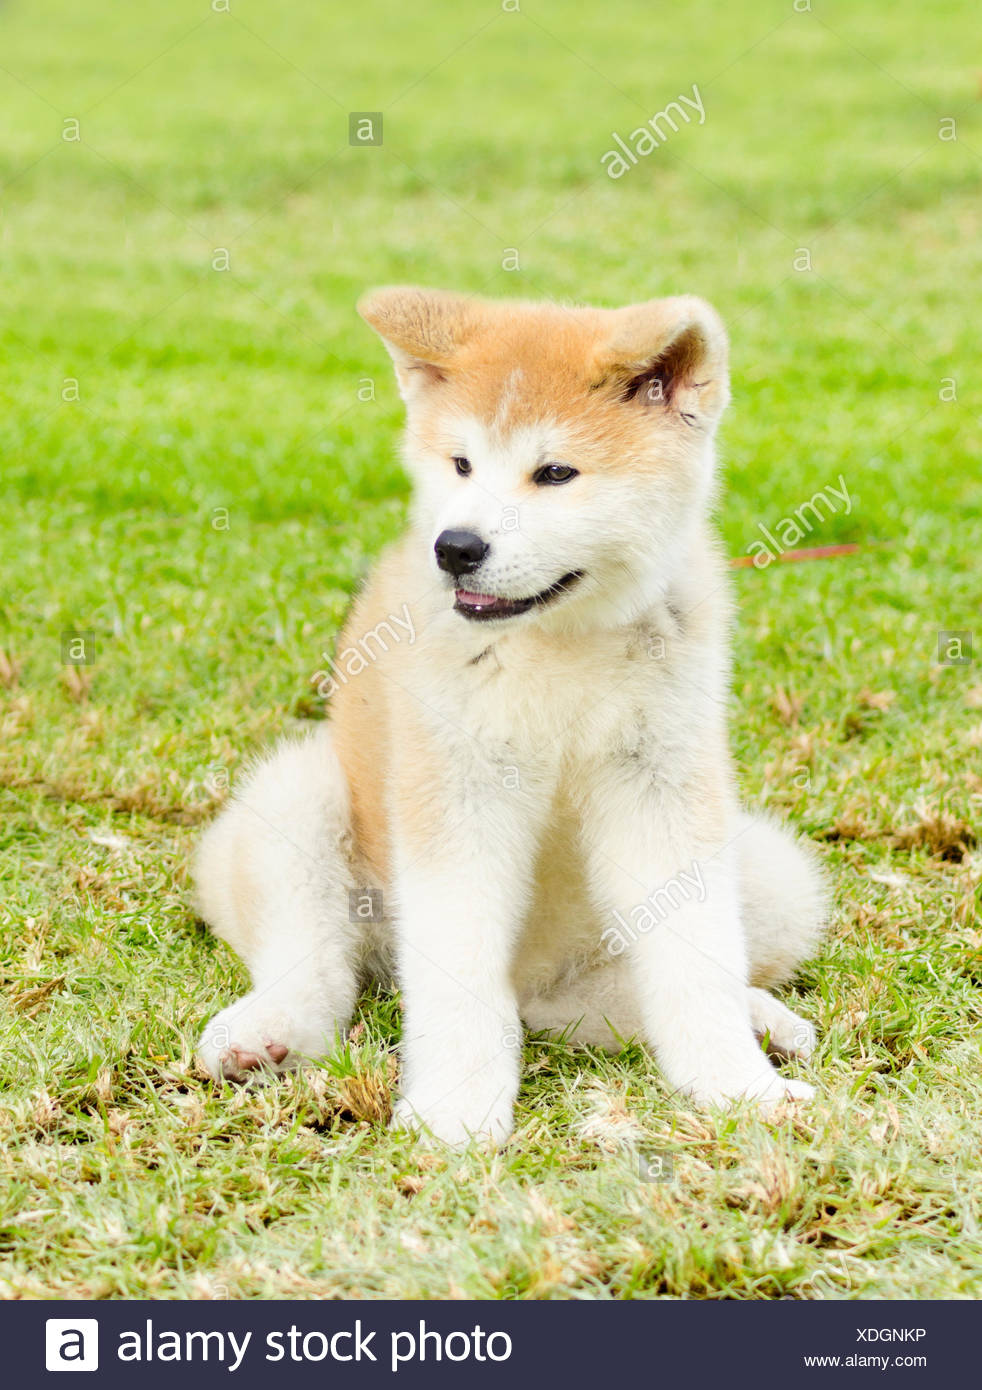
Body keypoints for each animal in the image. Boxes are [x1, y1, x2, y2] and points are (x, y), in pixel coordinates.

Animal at [193, 287, 823, 1145]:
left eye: (554, 473)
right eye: (460, 463)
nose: (455, 547)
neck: (557, 641)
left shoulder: (662, 787)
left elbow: (695, 963)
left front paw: (735, 1087)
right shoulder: (458, 791)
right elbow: (457, 981)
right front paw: (456, 1114)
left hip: (774, 874)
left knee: (564, 1006)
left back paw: (759, 1020)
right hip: (299, 798)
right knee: (320, 963)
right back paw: (268, 1031)